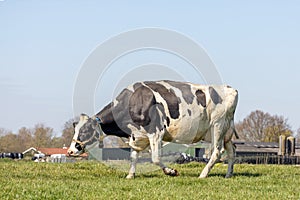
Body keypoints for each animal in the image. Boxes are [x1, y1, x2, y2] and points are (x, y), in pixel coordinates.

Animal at [68, 79, 239, 178]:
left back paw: (203, 174)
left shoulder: (156, 132)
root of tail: (231, 89)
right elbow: (134, 157)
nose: (70, 151)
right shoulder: (137, 136)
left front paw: (171, 172)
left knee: (217, 151)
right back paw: (228, 175)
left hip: (217, 126)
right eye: (75, 130)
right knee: (232, 151)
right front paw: (130, 175)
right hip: (226, 131)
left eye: (85, 131)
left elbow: (155, 158)